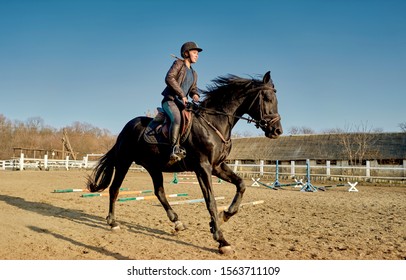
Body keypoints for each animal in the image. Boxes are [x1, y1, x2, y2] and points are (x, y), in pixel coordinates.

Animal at [87, 71, 280, 255]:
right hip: (124, 162)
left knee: (159, 192)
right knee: (114, 189)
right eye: (267, 98)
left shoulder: (217, 166)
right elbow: (210, 201)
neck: (213, 124)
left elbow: (241, 185)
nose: (277, 130)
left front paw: (223, 216)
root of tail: (126, 128)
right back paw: (113, 222)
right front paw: (221, 240)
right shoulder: (203, 168)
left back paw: (177, 222)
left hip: (153, 167)